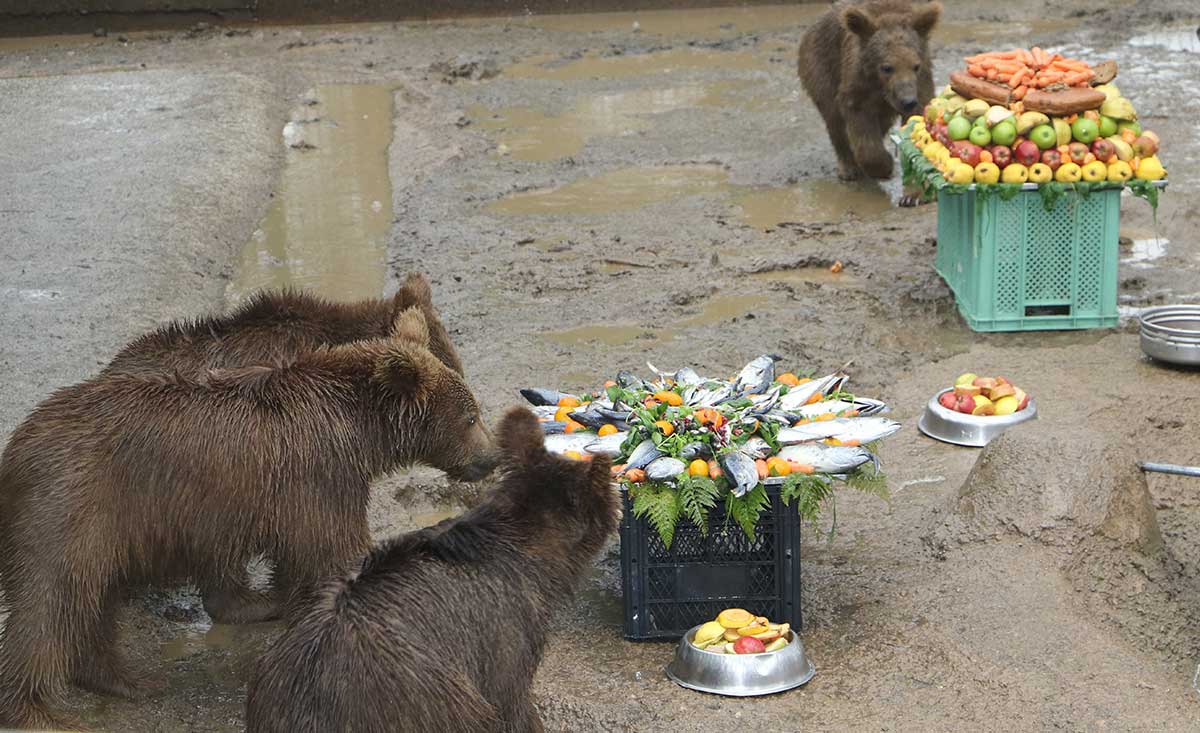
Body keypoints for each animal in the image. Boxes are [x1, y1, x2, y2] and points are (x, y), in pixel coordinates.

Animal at [0, 307, 496, 729]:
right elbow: (331, 549)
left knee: (94, 600)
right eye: (471, 416)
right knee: (49, 603)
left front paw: (281, 603)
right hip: (73, 509)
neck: (358, 430)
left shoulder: (296, 489)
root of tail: (18, 446)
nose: (491, 458)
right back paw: (35, 712)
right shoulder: (319, 475)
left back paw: (124, 678)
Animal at [801, 0, 940, 181]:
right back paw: (848, 168)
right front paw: (884, 165)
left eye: (915, 66)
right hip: (822, 66)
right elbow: (860, 123)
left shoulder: (921, 82)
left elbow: (917, 115)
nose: (907, 101)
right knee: (834, 119)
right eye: (887, 67)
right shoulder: (858, 86)